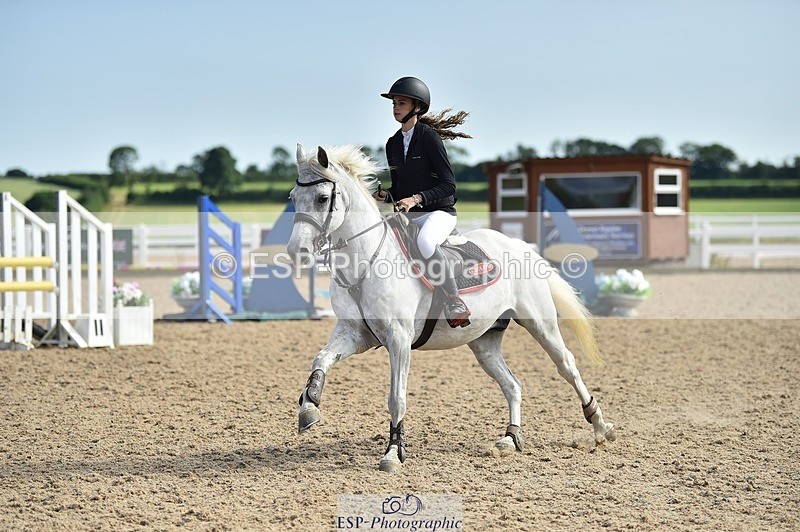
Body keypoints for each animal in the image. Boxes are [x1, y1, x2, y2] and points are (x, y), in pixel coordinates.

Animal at [288, 144, 615, 473]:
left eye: (322, 198)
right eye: (293, 197)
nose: (296, 252)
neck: (365, 262)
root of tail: (518, 245)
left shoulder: (398, 338)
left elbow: (396, 397)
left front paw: (393, 453)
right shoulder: (355, 334)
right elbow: (321, 358)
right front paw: (309, 407)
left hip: (540, 324)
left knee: (567, 366)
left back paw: (600, 426)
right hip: (484, 342)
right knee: (512, 384)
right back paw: (510, 438)